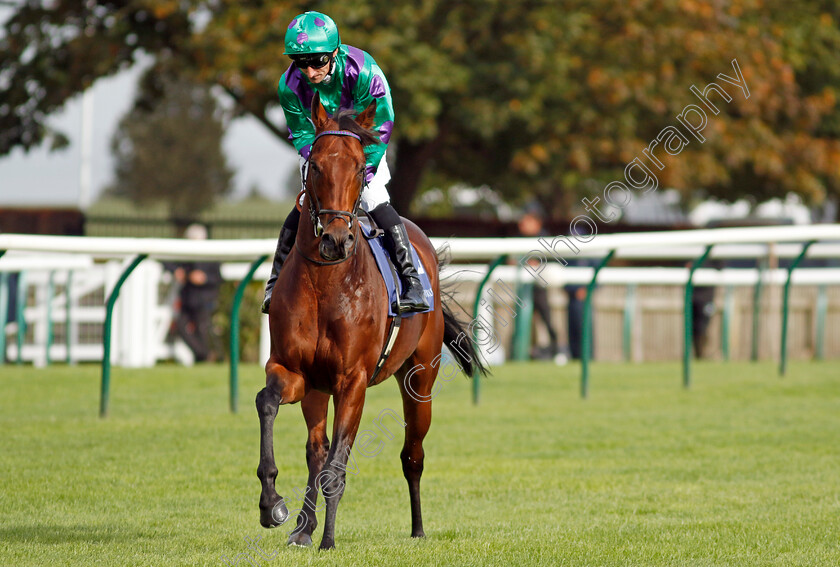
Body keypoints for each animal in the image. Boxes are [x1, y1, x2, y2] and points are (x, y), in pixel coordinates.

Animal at [254, 92, 486, 552]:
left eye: (361, 166)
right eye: (316, 164)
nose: (335, 240)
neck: (327, 284)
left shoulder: (353, 381)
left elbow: (338, 465)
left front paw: (328, 540)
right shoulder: (293, 371)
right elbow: (267, 404)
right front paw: (273, 504)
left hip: (420, 379)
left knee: (412, 454)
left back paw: (417, 528)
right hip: (317, 390)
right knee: (315, 449)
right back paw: (302, 528)